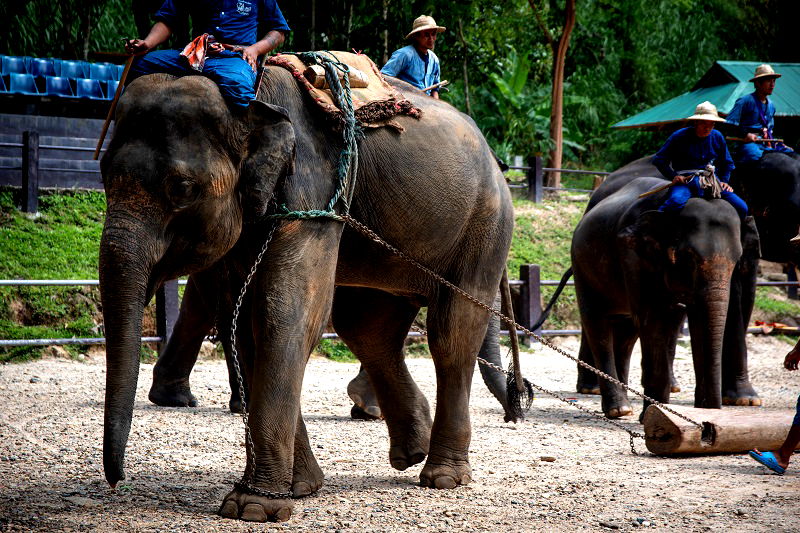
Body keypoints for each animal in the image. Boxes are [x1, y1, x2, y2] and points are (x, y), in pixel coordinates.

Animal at [100, 68, 512, 520]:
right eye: (102, 174)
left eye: (183, 188)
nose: (117, 481)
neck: (250, 99)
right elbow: (247, 322)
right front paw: (298, 489)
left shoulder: (313, 189)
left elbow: (285, 311)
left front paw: (253, 505)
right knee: (367, 327)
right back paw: (411, 451)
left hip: (486, 222)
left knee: (451, 332)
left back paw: (442, 477)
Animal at [568, 175, 756, 416]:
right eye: (688, 256)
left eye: (738, 259)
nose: (712, 413)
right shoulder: (633, 255)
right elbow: (652, 318)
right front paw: (653, 413)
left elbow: (695, 320)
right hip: (582, 267)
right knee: (598, 324)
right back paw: (619, 410)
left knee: (626, 331)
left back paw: (626, 408)